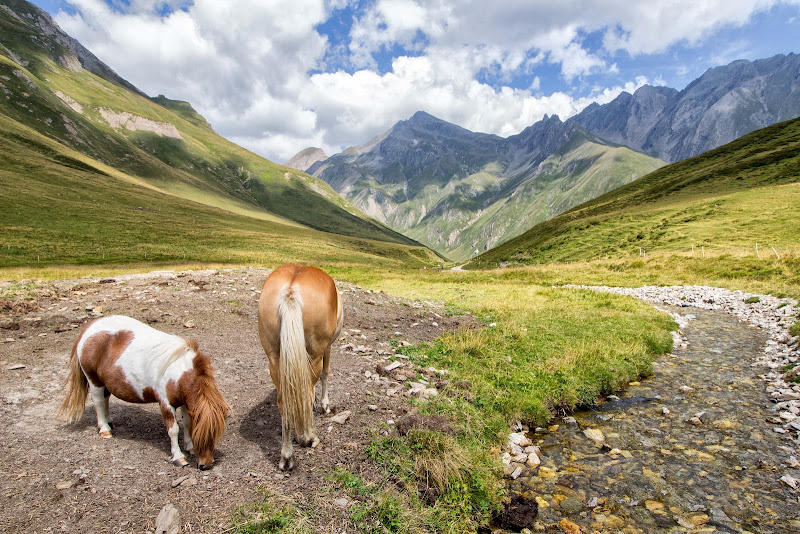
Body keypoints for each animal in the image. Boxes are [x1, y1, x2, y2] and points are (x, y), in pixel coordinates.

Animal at [58, 316, 228, 472]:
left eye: (215, 435)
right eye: (201, 435)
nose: (205, 465)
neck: (179, 372)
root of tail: (88, 328)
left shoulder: (185, 402)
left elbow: (186, 423)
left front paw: (189, 447)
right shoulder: (166, 404)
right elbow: (173, 430)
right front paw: (179, 457)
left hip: (105, 382)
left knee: (105, 399)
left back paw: (110, 422)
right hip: (94, 381)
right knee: (98, 401)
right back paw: (105, 429)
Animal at [258, 266, 342, 472]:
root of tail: (291, 290)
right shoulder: (327, 348)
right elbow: (326, 374)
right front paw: (325, 405)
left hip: (275, 359)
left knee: (285, 402)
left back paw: (286, 456)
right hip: (315, 354)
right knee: (307, 394)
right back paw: (310, 438)